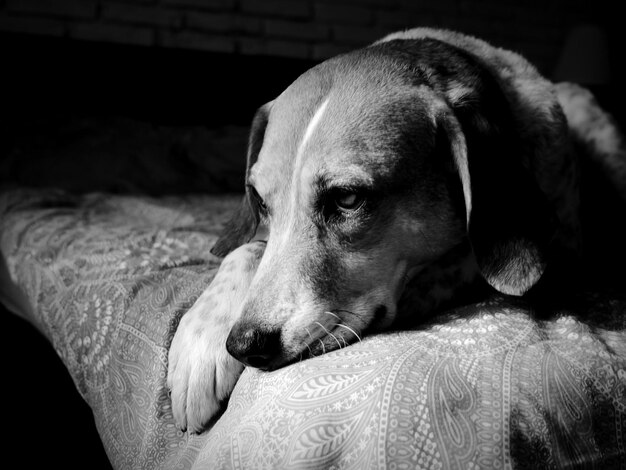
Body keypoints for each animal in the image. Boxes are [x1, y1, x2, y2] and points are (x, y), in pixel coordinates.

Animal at [166, 28, 624, 434]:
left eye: (347, 199)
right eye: (260, 202)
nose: (245, 344)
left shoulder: (562, 263)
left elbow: (457, 265)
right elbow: (248, 248)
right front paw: (201, 341)